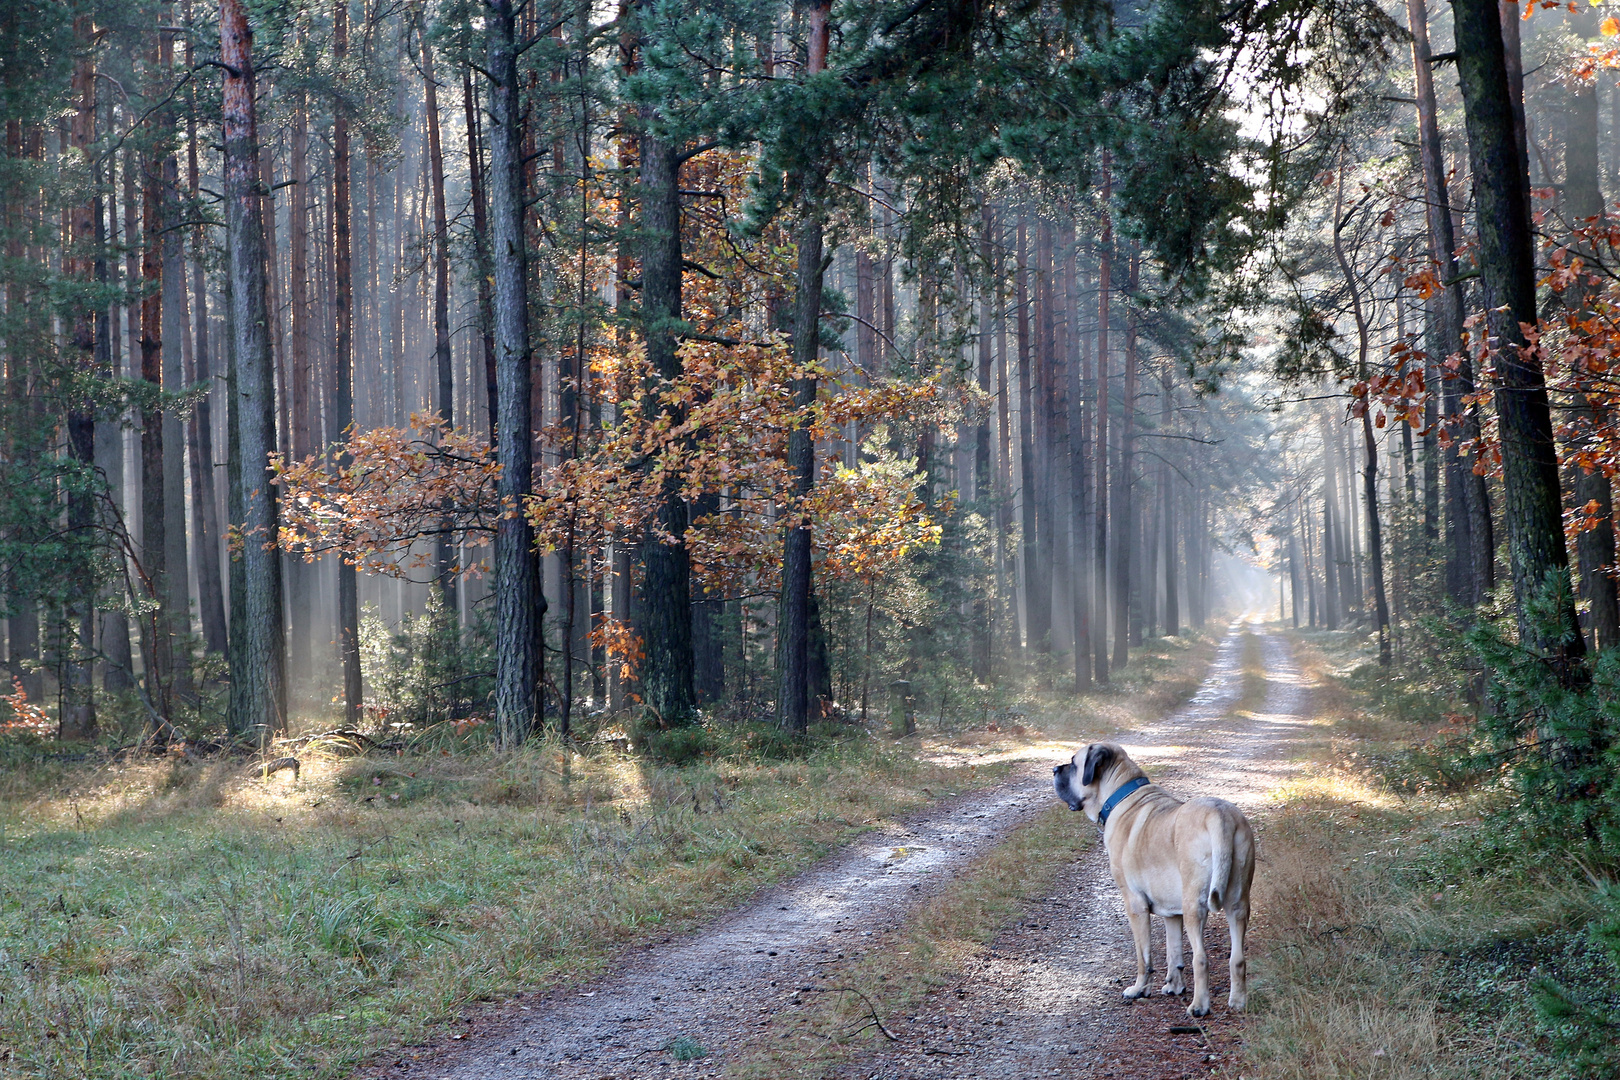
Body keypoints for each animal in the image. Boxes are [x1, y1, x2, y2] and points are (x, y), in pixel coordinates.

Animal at [1056, 738, 1257, 1016]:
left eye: (1073, 763)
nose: (1055, 769)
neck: (1121, 794)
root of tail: (1220, 815)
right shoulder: (1172, 913)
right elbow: (1174, 953)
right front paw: (1174, 985)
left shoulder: (1135, 905)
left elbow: (1144, 956)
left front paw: (1139, 989)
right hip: (1238, 903)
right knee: (1237, 957)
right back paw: (1238, 1001)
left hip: (1195, 905)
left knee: (1200, 958)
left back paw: (1199, 1005)